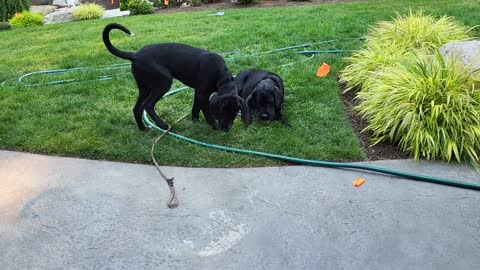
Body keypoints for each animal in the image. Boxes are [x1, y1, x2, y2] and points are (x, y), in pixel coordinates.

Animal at [102, 22, 249, 132]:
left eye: (234, 113)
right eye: (223, 111)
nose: (226, 129)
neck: (221, 76)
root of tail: (135, 55)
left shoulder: (199, 93)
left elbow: (195, 108)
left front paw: (195, 122)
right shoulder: (202, 94)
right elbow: (206, 112)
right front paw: (214, 126)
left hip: (144, 87)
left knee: (137, 108)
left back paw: (143, 128)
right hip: (164, 82)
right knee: (148, 106)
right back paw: (162, 125)